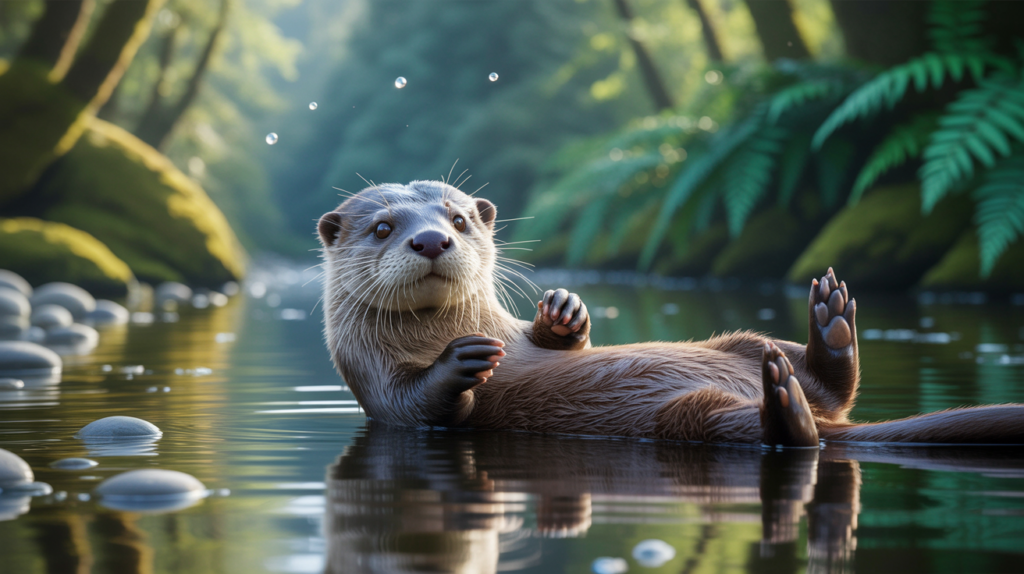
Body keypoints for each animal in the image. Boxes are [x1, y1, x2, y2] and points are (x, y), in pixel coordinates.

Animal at [318, 180, 1024, 446]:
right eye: (383, 227)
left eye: (460, 218)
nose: (432, 240)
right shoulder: (374, 386)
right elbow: (419, 407)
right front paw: (461, 360)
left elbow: (555, 341)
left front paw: (565, 313)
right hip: (690, 419)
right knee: (787, 427)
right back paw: (786, 409)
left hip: (743, 339)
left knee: (826, 381)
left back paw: (829, 325)